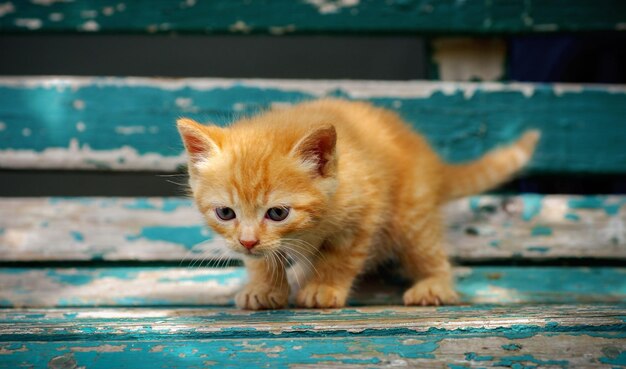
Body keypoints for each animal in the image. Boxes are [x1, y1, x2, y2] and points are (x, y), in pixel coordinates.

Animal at [176, 99, 536, 310]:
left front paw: (323, 286)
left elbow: (341, 258)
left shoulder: (364, 216)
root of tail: (429, 158)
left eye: (277, 213)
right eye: (226, 213)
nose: (247, 242)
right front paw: (263, 287)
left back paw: (434, 285)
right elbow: (264, 260)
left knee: (429, 251)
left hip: (410, 214)